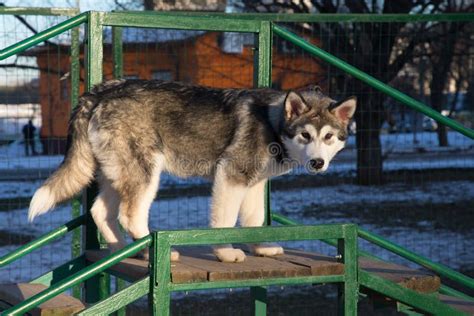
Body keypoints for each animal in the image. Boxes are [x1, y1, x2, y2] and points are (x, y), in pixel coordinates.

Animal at [27, 79, 356, 262]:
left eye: (329, 136)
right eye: (305, 135)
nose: (318, 163)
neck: (272, 122)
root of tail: (101, 91)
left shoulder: (253, 185)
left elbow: (254, 220)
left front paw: (261, 248)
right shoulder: (230, 177)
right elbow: (224, 222)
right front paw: (225, 253)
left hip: (117, 174)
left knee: (100, 212)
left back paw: (125, 250)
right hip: (146, 173)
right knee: (129, 215)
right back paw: (150, 250)